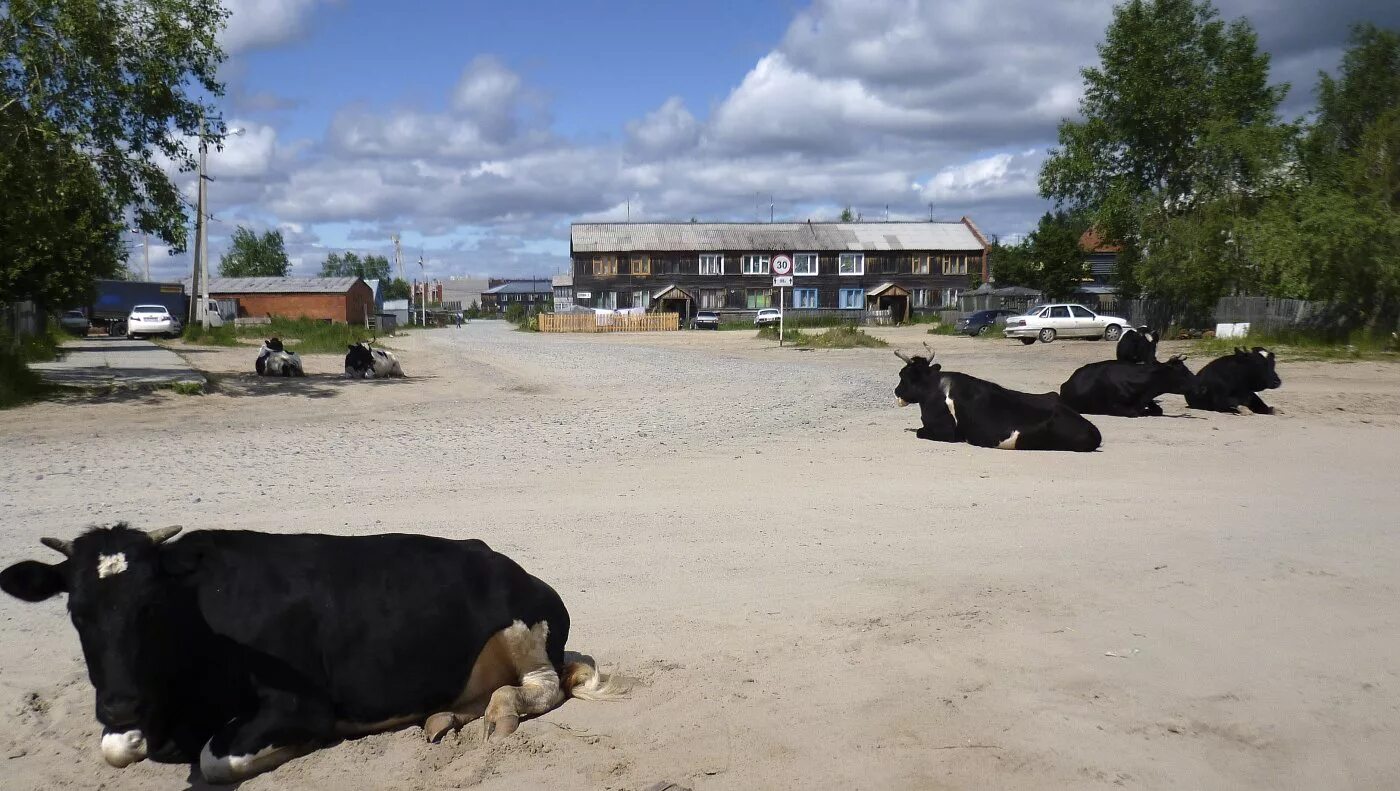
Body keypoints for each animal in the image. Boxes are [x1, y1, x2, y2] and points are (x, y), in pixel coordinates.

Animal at [0, 523, 624, 784]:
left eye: (150, 607)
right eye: (76, 609)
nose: (120, 705)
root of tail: (503, 558)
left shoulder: (301, 704)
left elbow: (214, 758)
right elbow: (116, 748)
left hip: (523, 626)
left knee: (544, 684)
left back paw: (501, 713)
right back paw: (442, 717)